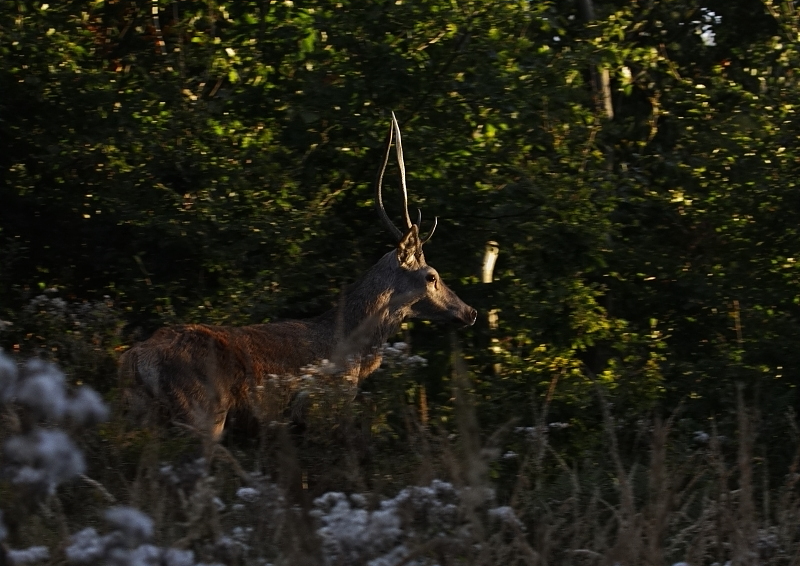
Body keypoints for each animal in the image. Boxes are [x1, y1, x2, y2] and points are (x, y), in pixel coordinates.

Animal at [119, 113, 476, 442]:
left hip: (142, 413)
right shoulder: (324, 405)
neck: (352, 352)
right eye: (432, 276)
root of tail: (135, 360)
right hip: (201, 412)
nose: (470, 311)